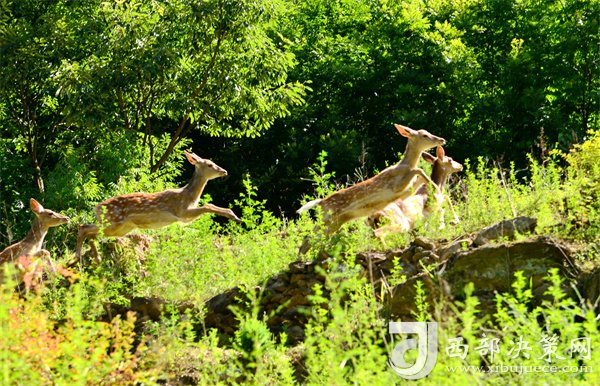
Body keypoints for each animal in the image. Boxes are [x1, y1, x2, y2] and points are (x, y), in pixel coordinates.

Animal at [76, 151, 240, 262]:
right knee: (84, 228)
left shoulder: (184, 215)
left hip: (121, 227)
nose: (224, 171)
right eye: (210, 164)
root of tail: (96, 207)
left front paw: (234, 216)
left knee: (89, 231)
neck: (188, 196)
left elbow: (207, 205)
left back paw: (95, 258)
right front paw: (233, 216)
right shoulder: (181, 212)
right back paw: (81, 256)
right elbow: (208, 205)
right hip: (114, 221)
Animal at [298, 122, 448, 252]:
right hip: (328, 217)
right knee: (308, 237)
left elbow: (417, 178)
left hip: (336, 221)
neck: (404, 166)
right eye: (425, 135)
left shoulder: (403, 193)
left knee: (312, 238)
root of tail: (320, 202)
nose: (442, 139)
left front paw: (432, 185)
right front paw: (434, 185)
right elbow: (418, 170)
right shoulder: (395, 186)